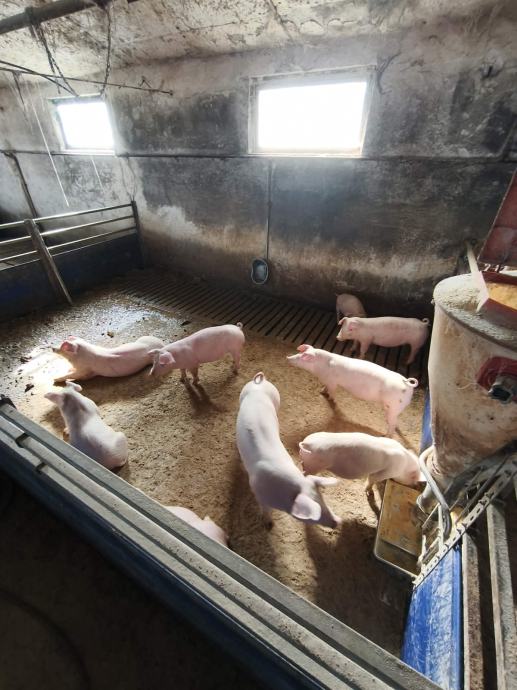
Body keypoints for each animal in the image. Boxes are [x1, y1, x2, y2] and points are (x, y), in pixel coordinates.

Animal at [236, 372, 341, 528]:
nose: (337, 523)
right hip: (242, 395)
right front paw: (268, 525)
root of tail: (259, 383)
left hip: (276, 397)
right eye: (312, 517)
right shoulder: (256, 489)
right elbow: (265, 509)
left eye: (323, 501)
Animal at [287, 345, 418, 436]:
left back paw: (385, 436)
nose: (288, 357)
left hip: (392, 405)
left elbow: (332, 392)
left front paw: (329, 398)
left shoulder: (332, 382)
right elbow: (325, 388)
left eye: (302, 357)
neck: (321, 367)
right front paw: (321, 391)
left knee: (391, 424)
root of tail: (407, 383)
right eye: (299, 352)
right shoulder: (327, 381)